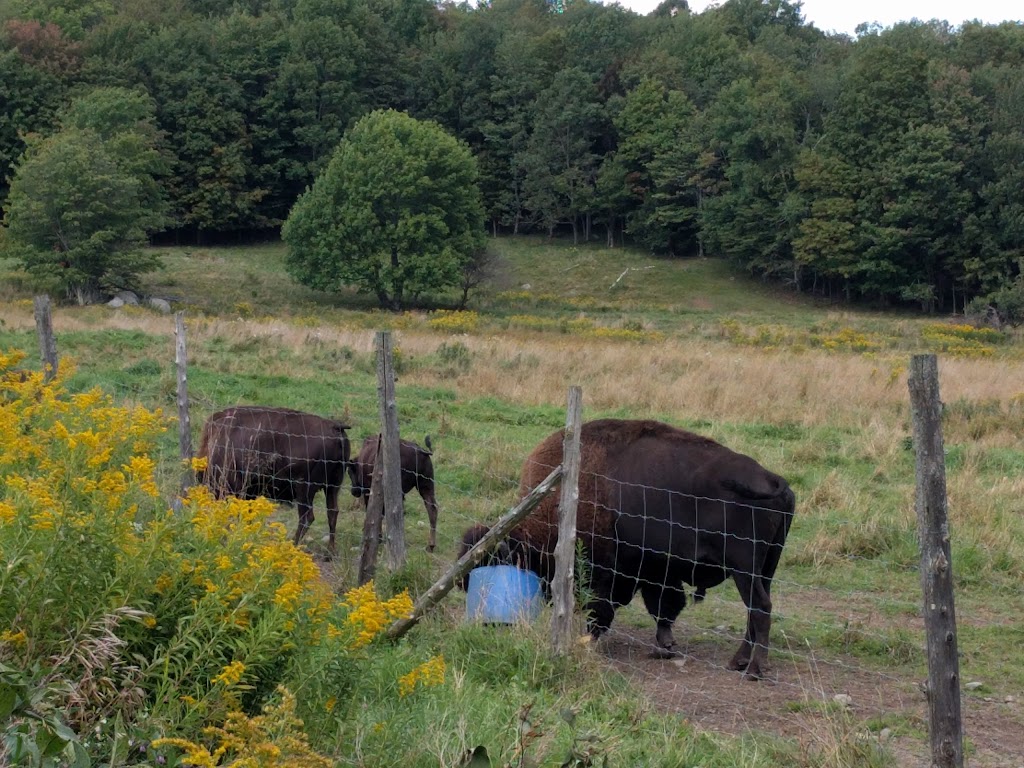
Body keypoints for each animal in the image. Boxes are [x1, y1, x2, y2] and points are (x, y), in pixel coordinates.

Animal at [197, 405, 354, 557]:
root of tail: (335, 427)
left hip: (304, 489)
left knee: (307, 517)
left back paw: (292, 545)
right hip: (333, 487)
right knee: (332, 513)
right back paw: (330, 553)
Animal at [460, 421, 794, 679]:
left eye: (489, 560)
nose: (464, 584)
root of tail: (776, 480)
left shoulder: (608, 571)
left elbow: (605, 607)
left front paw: (590, 640)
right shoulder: (655, 571)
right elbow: (664, 607)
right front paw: (664, 647)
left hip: (744, 568)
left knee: (760, 608)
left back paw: (753, 669)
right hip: (766, 568)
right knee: (755, 609)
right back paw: (740, 662)